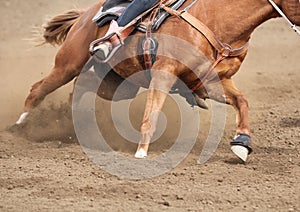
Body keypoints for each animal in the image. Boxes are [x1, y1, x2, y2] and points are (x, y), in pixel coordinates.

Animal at [17, 0, 300, 162]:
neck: (218, 18)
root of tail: (85, 14)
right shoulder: (164, 72)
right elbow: (151, 114)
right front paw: (141, 152)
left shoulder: (216, 80)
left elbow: (242, 101)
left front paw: (242, 143)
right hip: (68, 63)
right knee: (38, 89)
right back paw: (21, 125)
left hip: (115, 84)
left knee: (79, 88)